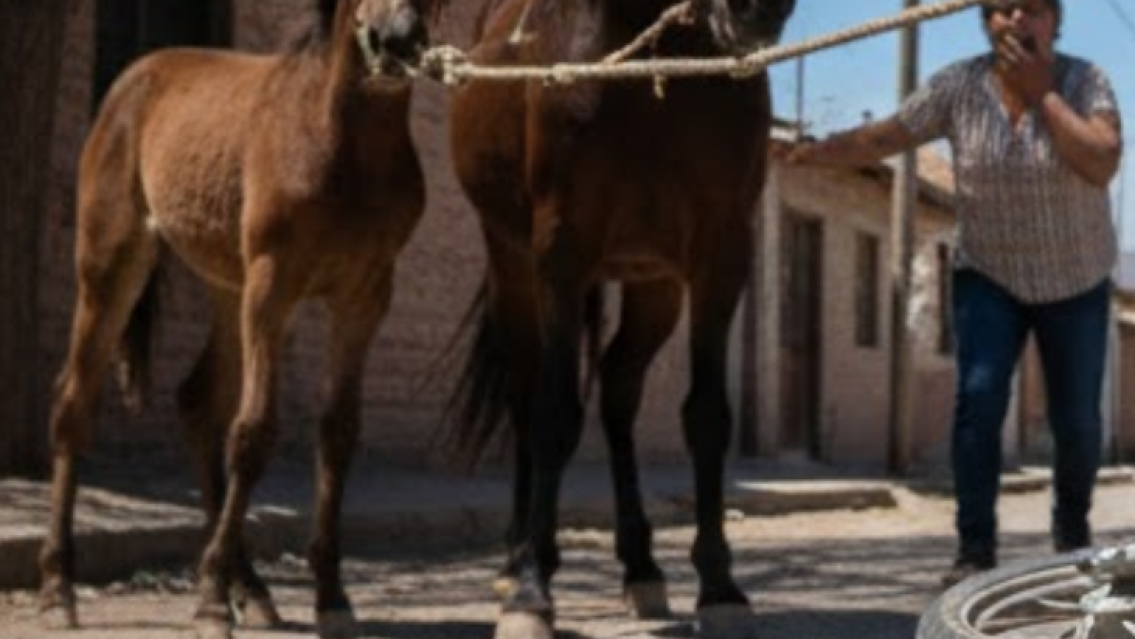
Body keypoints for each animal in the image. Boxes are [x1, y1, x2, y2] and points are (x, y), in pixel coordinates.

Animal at [37, 1, 439, 638]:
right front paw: (208, 601)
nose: (395, 40)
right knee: (73, 405)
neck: (344, 144)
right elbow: (252, 435)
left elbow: (338, 434)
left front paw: (330, 597)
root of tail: (134, 79)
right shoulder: (273, 289)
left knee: (197, 402)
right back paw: (59, 589)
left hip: (228, 288)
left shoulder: (365, 298)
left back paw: (250, 588)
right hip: (112, 263)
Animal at [446, 0, 796, 637]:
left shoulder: (721, 254)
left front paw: (720, 588)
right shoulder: (561, 253)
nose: (760, 11)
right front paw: (532, 592)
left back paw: (641, 566)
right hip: (514, 270)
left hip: (654, 286)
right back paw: (514, 559)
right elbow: (555, 416)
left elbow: (707, 416)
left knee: (617, 391)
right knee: (525, 399)